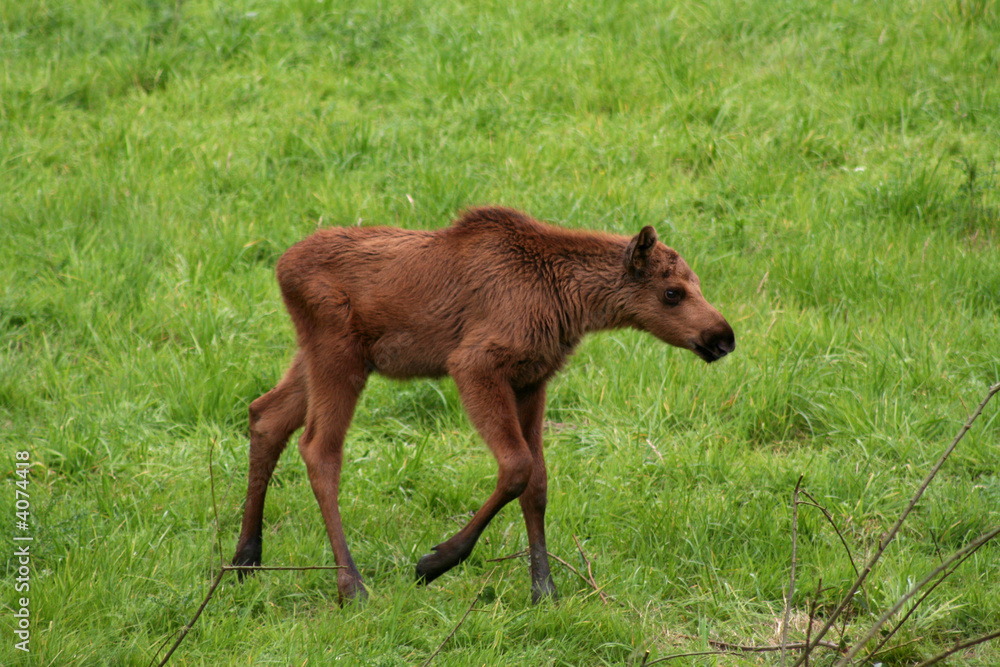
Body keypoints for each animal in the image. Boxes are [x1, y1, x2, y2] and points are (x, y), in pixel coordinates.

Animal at [234, 207, 736, 604]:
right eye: (672, 292)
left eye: (696, 283)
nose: (723, 337)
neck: (567, 301)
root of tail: (281, 266)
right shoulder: (475, 364)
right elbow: (516, 466)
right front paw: (436, 561)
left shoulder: (532, 379)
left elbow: (538, 482)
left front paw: (543, 588)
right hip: (338, 354)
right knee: (319, 449)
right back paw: (351, 585)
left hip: (322, 355)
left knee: (265, 415)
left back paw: (245, 559)